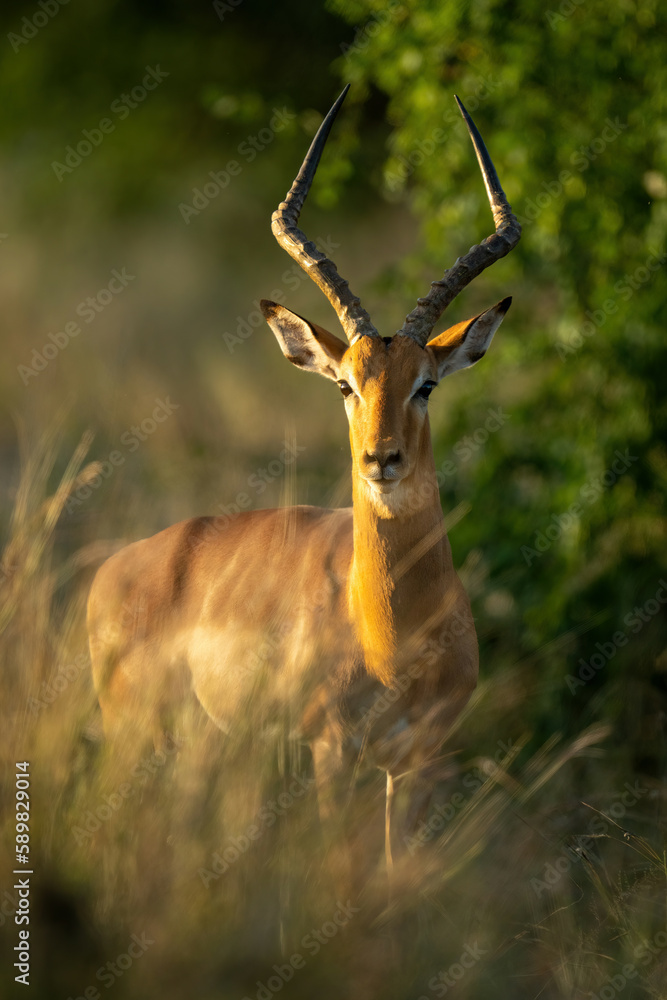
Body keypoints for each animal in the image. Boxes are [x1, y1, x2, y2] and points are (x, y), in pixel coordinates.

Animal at [87, 86, 520, 882]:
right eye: (345, 384)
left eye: (427, 384)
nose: (380, 460)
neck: (392, 639)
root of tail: (116, 567)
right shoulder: (331, 752)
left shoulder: (419, 759)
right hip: (134, 731)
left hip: (199, 742)